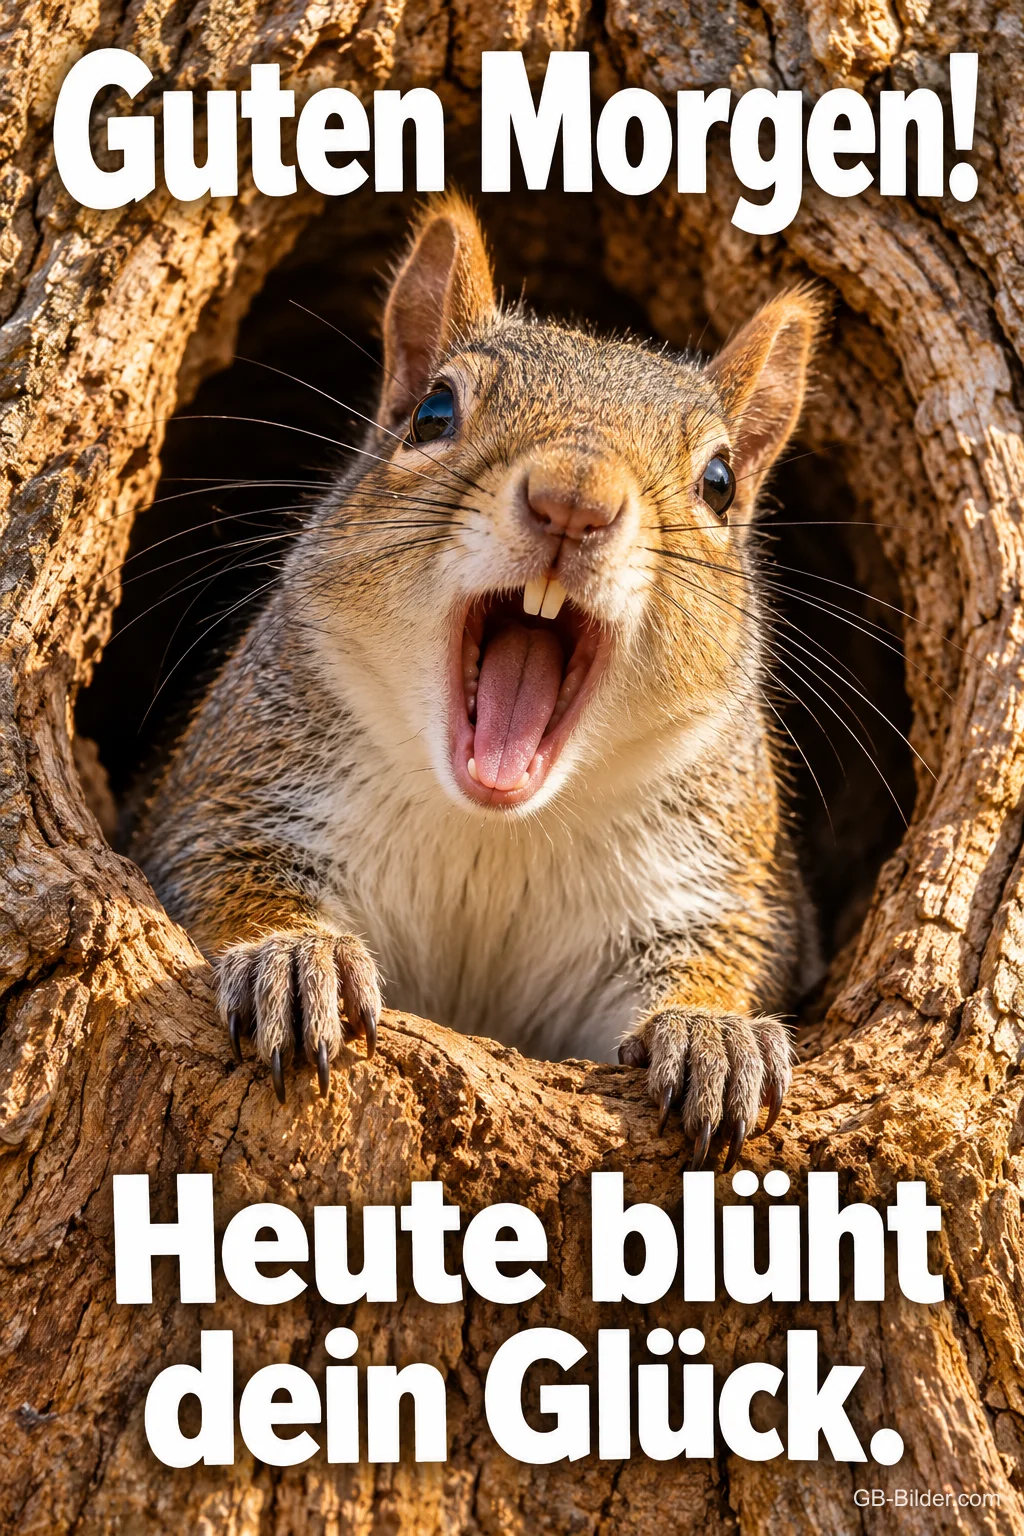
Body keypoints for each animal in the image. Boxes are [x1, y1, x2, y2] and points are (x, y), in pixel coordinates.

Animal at [131, 194, 823, 1170]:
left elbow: (722, 958)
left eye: (721, 481)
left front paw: (711, 1032)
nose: (574, 499)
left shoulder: (712, 882)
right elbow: (222, 875)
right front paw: (295, 957)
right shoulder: (233, 795)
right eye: (432, 411)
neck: (493, 832)